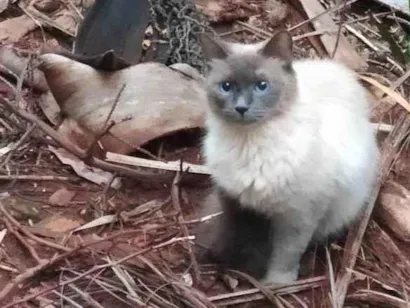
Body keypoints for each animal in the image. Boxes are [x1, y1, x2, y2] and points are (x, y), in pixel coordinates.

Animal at [197, 30, 380, 284]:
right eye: (226, 86)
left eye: (262, 86)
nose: (241, 108)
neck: (249, 143)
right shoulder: (233, 198)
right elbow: (231, 232)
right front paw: (223, 259)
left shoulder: (298, 215)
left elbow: (286, 253)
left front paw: (276, 284)